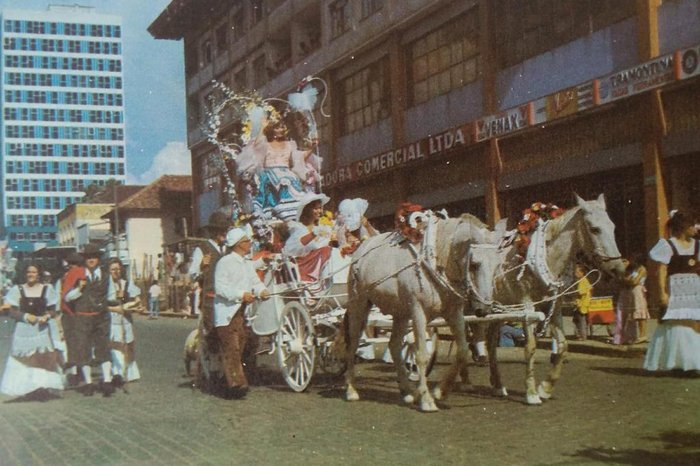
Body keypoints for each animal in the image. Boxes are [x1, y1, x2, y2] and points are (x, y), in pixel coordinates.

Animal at [344, 215, 498, 412]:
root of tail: (360, 251)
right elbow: (422, 356)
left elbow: (462, 350)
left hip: (400, 314)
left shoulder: (454, 312)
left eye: (497, 266)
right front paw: (426, 399)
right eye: (474, 265)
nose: (484, 308)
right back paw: (351, 389)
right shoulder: (418, 312)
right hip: (359, 305)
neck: (435, 260)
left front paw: (440, 391)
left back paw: (407, 392)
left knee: (394, 346)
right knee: (353, 344)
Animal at [464, 193, 624, 404]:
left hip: (497, 308)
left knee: (490, 342)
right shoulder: (527, 307)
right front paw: (532, 393)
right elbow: (530, 347)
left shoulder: (552, 306)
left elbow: (562, 346)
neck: (542, 256)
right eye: (594, 229)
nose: (617, 268)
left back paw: (497, 385)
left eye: (613, 226)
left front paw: (545, 388)